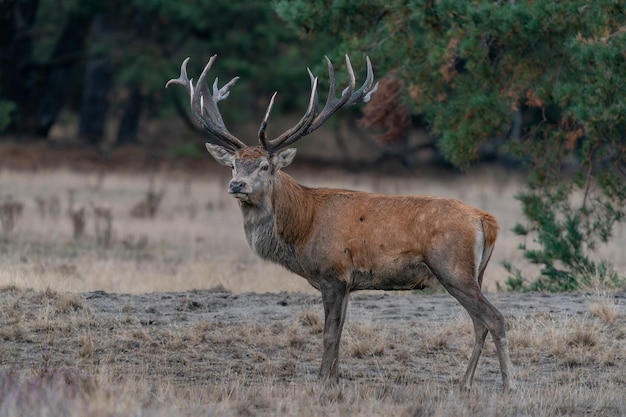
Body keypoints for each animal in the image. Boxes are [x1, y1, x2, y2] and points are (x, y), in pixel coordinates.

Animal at [165, 53, 512, 388]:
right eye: (233, 164)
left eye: (264, 166)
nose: (237, 185)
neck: (302, 228)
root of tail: (486, 220)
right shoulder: (348, 283)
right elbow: (341, 331)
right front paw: (335, 379)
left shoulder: (333, 273)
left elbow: (329, 334)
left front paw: (321, 382)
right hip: (475, 273)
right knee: (479, 323)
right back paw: (465, 381)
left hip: (453, 268)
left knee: (494, 319)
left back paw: (507, 384)